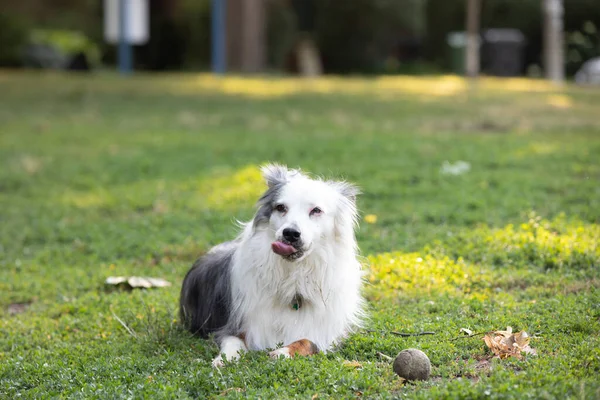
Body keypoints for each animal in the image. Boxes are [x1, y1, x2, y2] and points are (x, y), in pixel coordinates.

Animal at [179, 164, 366, 368]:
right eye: (280, 207)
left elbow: (307, 341)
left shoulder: (325, 332)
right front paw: (224, 359)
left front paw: (282, 352)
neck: (293, 275)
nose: (290, 233)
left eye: (316, 210)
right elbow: (233, 341)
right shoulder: (237, 324)